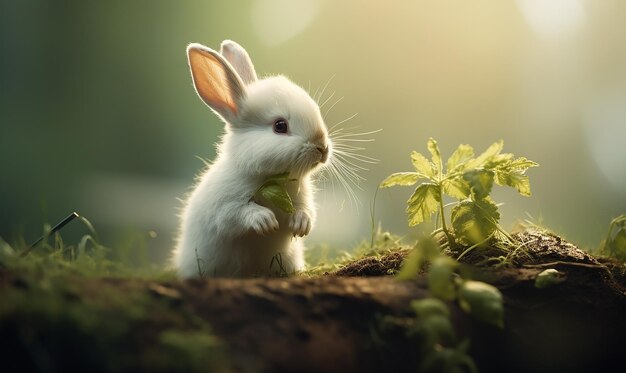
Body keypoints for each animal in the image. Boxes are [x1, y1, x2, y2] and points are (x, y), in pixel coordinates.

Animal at [168, 40, 330, 278]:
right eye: (280, 126)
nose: (323, 148)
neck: (270, 178)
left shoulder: (303, 198)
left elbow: (307, 210)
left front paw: (301, 225)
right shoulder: (222, 205)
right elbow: (234, 215)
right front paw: (266, 221)